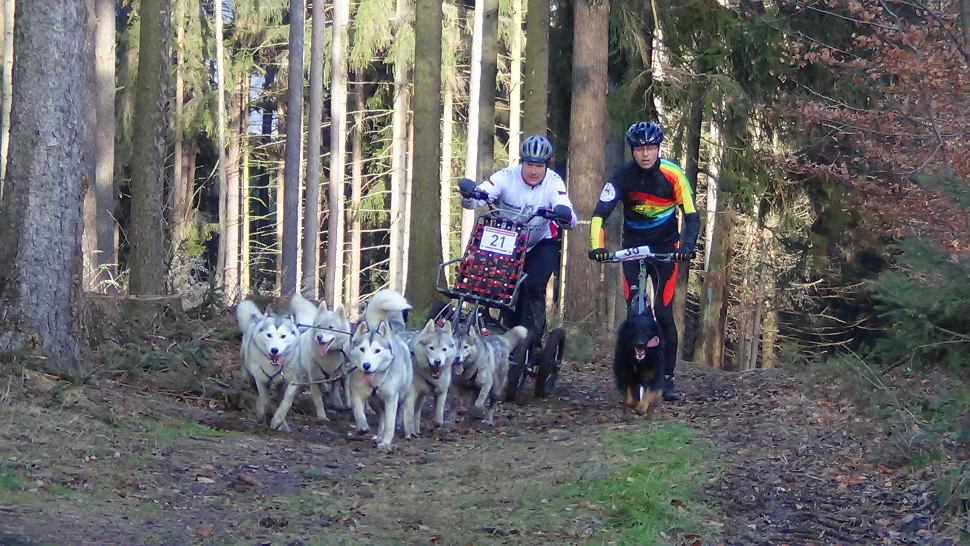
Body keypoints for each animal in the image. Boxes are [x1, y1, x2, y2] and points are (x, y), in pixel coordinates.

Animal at [234, 298, 298, 430]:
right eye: (269, 335)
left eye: (283, 336)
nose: (274, 350)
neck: (273, 367)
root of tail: (257, 319)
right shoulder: (262, 381)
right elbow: (266, 402)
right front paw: (268, 418)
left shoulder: (292, 382)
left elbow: (285, 403)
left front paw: (278, 421)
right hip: (249, 376)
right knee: (258, 395)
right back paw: (260, 414)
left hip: (280, 384)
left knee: (279, 398)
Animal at [346, 286, 410, 448]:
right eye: (362, 349)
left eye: (377, 351)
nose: (366, 365)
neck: (375, 380)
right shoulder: (357, 393)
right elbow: (359, 412)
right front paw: (362, 426)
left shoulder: (391, 399)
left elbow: (389, 423)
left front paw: (386, 442)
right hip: (374, 402)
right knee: (381, 417)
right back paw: (378, 436)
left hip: (400, 397)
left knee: (391, 415)